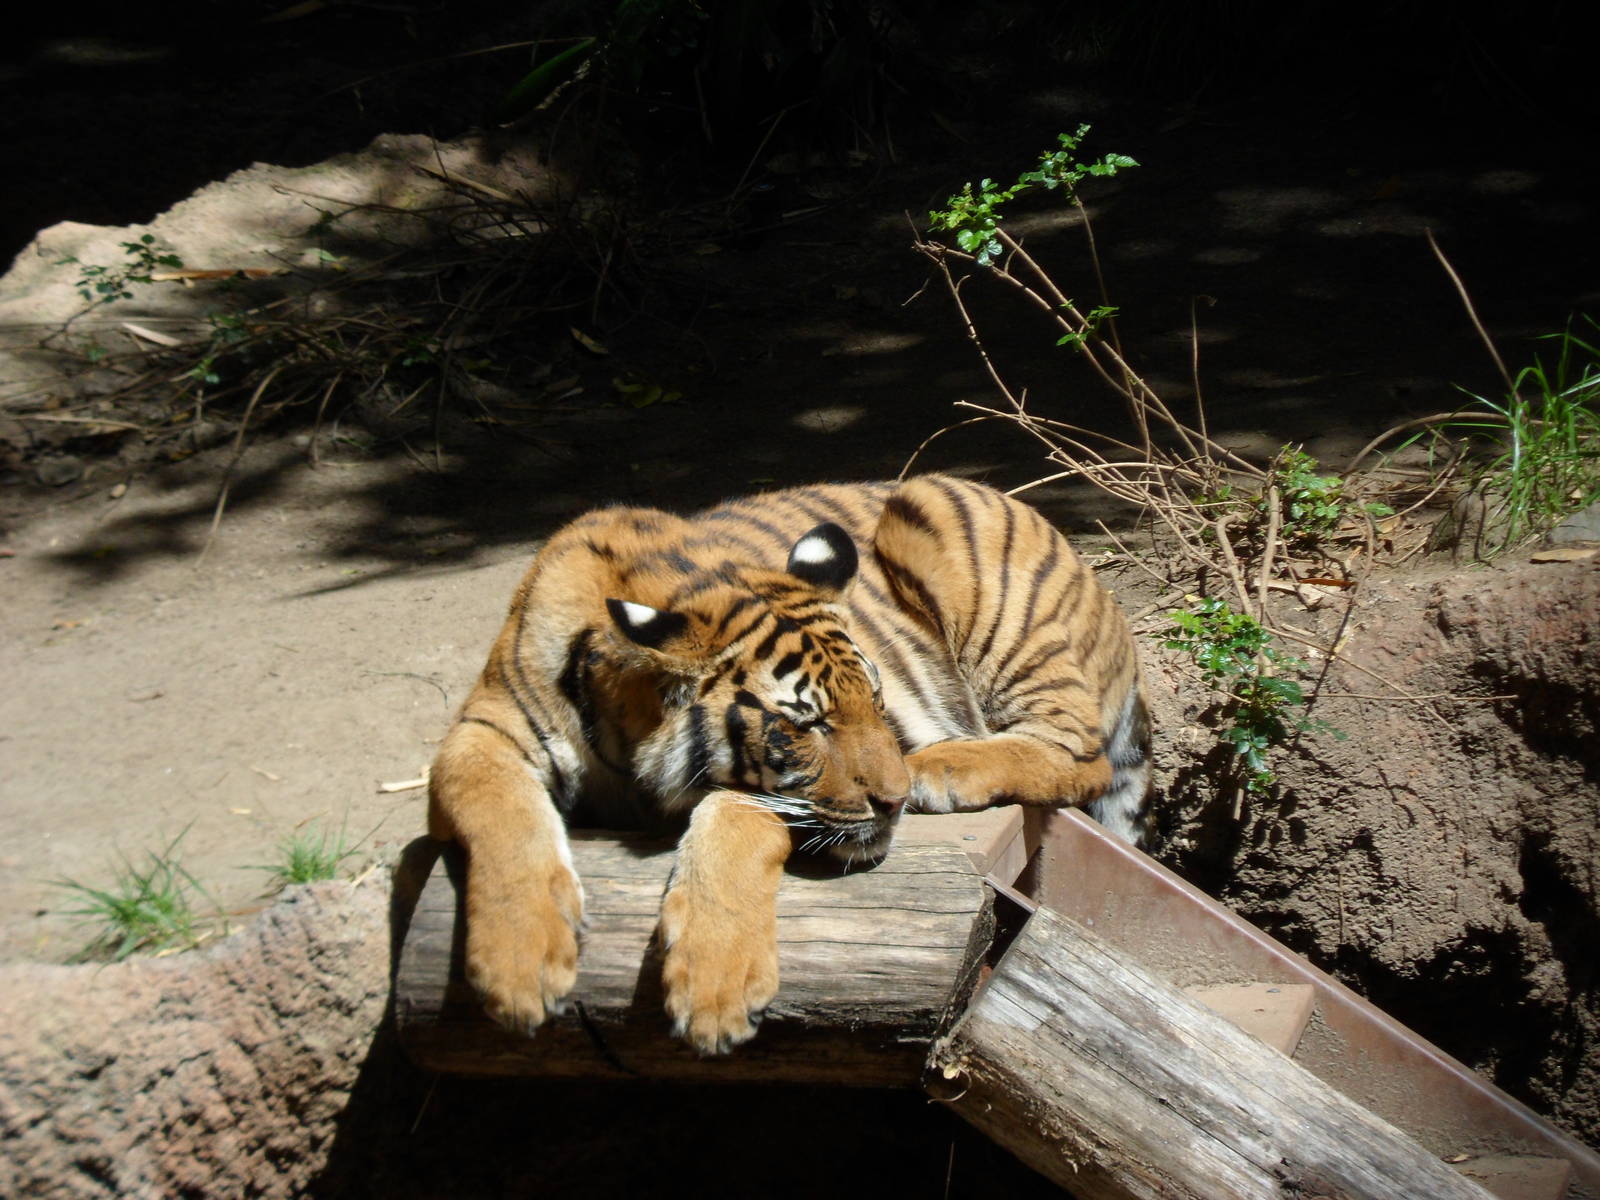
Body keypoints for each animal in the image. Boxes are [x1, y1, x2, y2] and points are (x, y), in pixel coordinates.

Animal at [427, 473, 1150, 1055]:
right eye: (806, 724)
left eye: (876, 701)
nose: (893, 800)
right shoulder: (480, 731)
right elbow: (496, 804)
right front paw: (520, 969)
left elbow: (734, 813)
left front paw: (714, 994)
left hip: (939, 514)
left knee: (1080, 751)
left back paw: (941, 768)